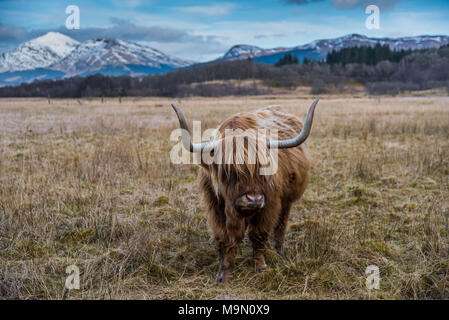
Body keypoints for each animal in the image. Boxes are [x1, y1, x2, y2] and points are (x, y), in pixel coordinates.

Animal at [169, 99, 318, 282]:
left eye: (263, 168)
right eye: (231, 171)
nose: (254, 200)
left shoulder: (269, 204)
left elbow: (258, 235)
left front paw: (260, 267)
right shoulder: (215, 206)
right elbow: (225, 239)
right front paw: (224, 275)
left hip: (287, 200)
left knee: (281, 225)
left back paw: (278, 251)